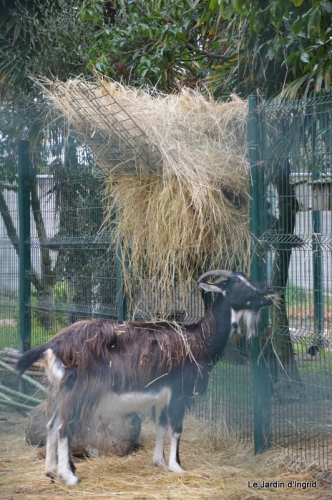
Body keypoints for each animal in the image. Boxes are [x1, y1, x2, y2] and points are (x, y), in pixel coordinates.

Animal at [15, 272, 274, 486]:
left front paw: (158, 461)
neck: (199, 339)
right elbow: (176, 429)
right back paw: (69, 476)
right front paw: (176, 466)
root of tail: (52, 346)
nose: (268, 292)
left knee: (51, 424)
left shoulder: (160, 397)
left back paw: (50, 473)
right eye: (238, 283)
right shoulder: (178, 392)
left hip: (57, 390)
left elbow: (160, 427)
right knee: (63, 428)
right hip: (78, 391)